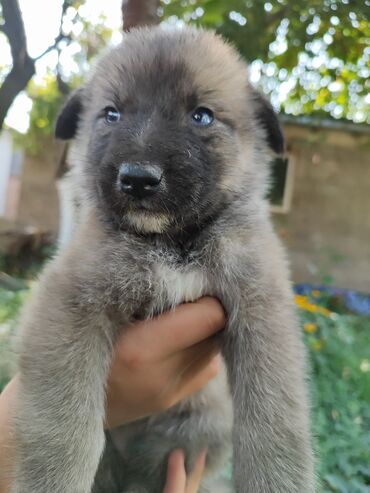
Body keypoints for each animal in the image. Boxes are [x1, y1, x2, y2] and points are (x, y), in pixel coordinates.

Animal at [11, 26, 314, 492]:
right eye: (112, 114)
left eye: (202, 116)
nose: (138, 178)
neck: (174, 243)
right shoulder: (69, 304)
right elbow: (62, 425)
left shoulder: (262, 310)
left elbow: (275, 422)